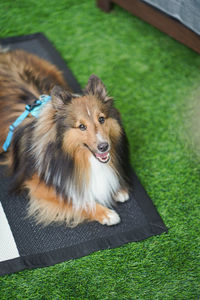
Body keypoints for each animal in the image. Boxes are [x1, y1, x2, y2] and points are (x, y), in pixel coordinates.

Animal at [0, 49, 132, 226]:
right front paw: (107, 214)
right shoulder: (40, 185)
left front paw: (118, 190)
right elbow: (80, 201)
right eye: (81, 126)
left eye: (101, 119)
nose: (104, 147)